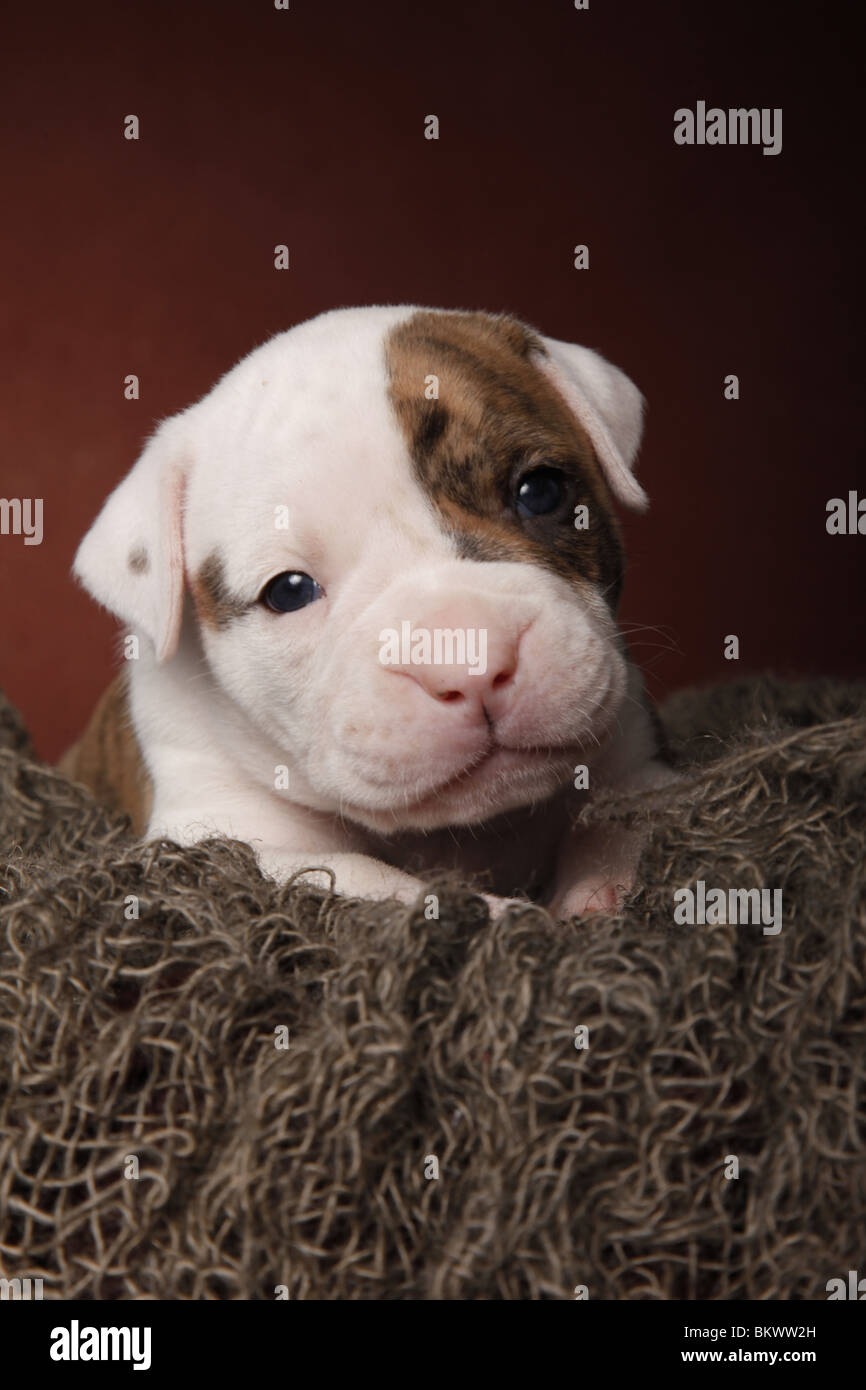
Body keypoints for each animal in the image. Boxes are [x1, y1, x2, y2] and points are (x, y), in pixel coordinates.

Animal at [64, 305, 675, 917]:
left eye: (540, 491)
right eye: (288, 591)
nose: (470, 668)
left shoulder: (635, 758)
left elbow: (629, 819)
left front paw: (601, 887)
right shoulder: (224, 832)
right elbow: (373, 881)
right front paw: (510, 918)